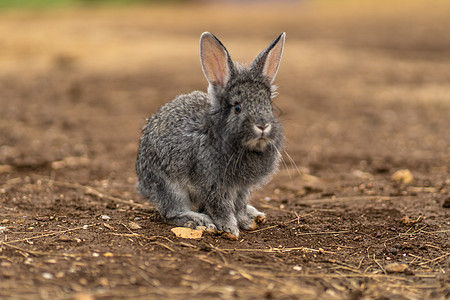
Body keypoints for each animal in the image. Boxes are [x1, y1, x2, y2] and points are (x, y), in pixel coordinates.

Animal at [135, 32, 286, 239]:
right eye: (237, 108)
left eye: (268, 105)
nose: (263, 126)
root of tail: (142, 183)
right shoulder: (214, 185)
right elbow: (221, 207)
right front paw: (230, 229)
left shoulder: (242, 188)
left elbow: (238, 205)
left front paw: (245, 222)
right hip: (169, 187)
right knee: (172, 212)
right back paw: (200, 221)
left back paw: (254, 215)